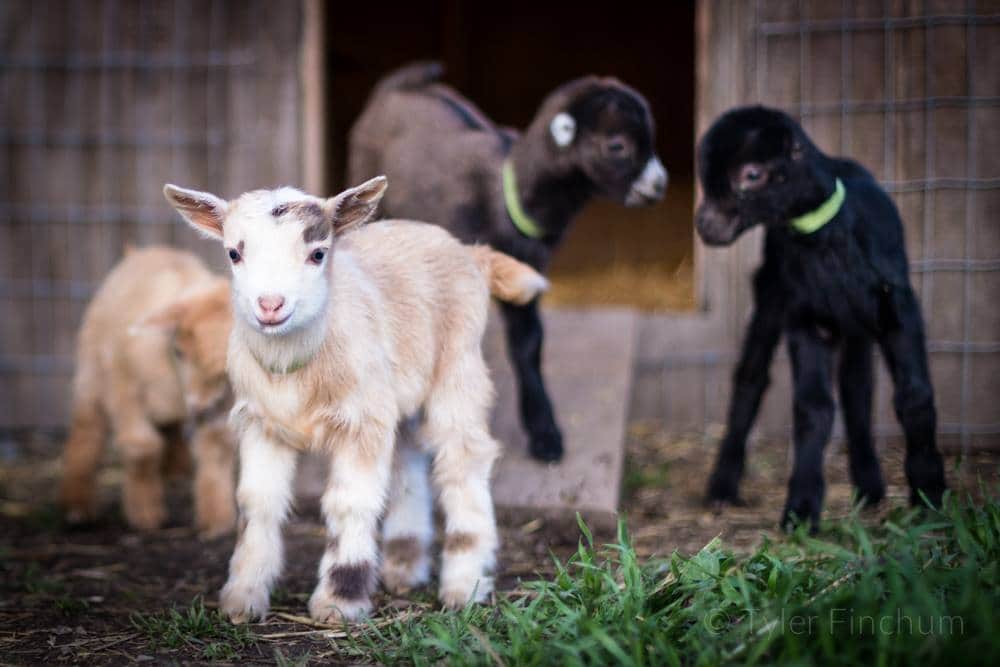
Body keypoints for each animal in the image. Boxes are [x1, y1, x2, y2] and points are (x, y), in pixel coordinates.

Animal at [60, 247, 236, 537]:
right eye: (179, 351)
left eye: (226, 371)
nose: (198, 406)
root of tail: (140, 252)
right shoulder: (125, 389)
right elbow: (142, 448)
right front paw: (145, 516)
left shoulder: (221, 405)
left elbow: (216, 450)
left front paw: (216, 521)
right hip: (91, 373)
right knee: (87, 432)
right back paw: (78, 508)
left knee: (171, 429)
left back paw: (175, 471)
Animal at [164, 176, 548, 623]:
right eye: (233, 253)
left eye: (317, 253)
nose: (270, 305)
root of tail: (470, 252)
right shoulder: (262, 423)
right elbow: (258, 504)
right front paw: (243, 598)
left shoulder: (361, 422)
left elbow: (349, 503)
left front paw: (338, 603)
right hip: (397, 394)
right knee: (408, 459)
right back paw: (404, 567)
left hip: (458, 367)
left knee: (463, 460)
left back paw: (463, 585)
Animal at [349, 61, 667, 462]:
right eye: (617, 145)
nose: (659, 185)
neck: (508, 194)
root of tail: (398, 85)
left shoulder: (526, 272)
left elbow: (528, 343)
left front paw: (545, 433)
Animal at [695, 105, 946, 530]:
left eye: (751, 175)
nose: (704, 225)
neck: (824, 236)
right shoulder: (808, 319)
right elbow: (813, 408)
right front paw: (801, 509)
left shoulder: (897, 308)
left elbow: (914, 395)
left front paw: (929, 493)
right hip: (773, 296)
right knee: (750, 379)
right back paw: (722, 486)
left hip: (858, 328)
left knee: (857, 393)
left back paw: (870, 486)